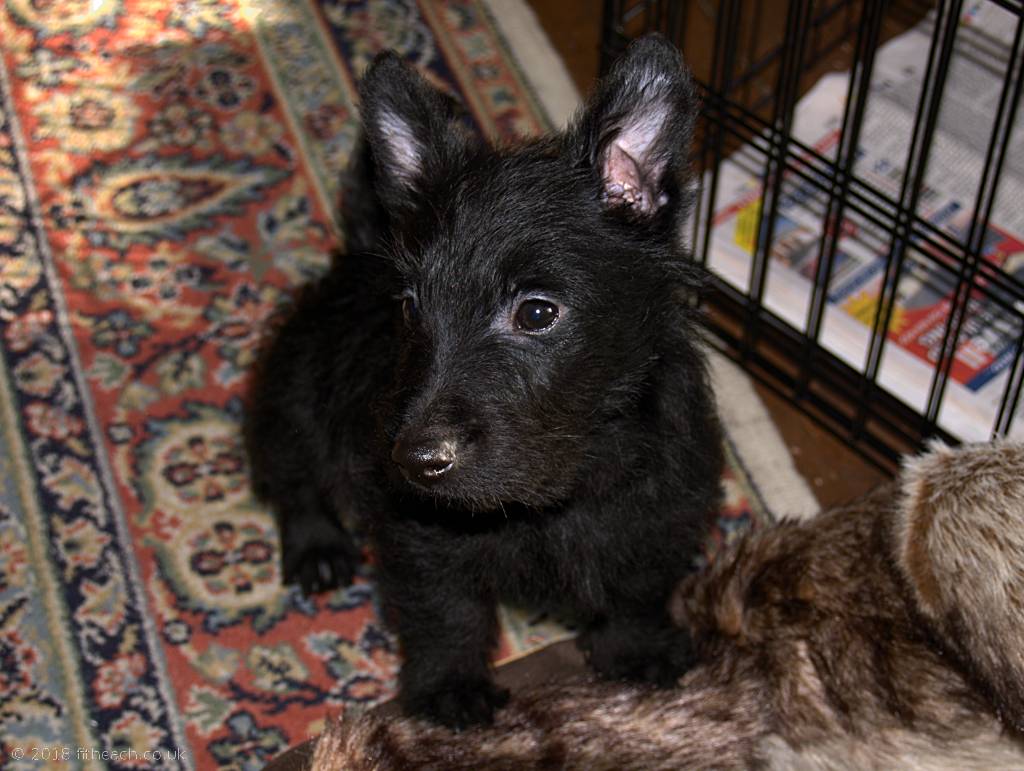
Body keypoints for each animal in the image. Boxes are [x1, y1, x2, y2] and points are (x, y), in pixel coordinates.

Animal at [245, 36, 729, 729]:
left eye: (537, 312)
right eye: (410, 308)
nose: (415, 461)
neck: (552, 496)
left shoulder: (661, 511)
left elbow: (636, 587)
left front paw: (638, 650)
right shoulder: (422, 535)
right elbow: (447, 614)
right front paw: (450, 689)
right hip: (295, 394)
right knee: (292, 475)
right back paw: (318, 548)